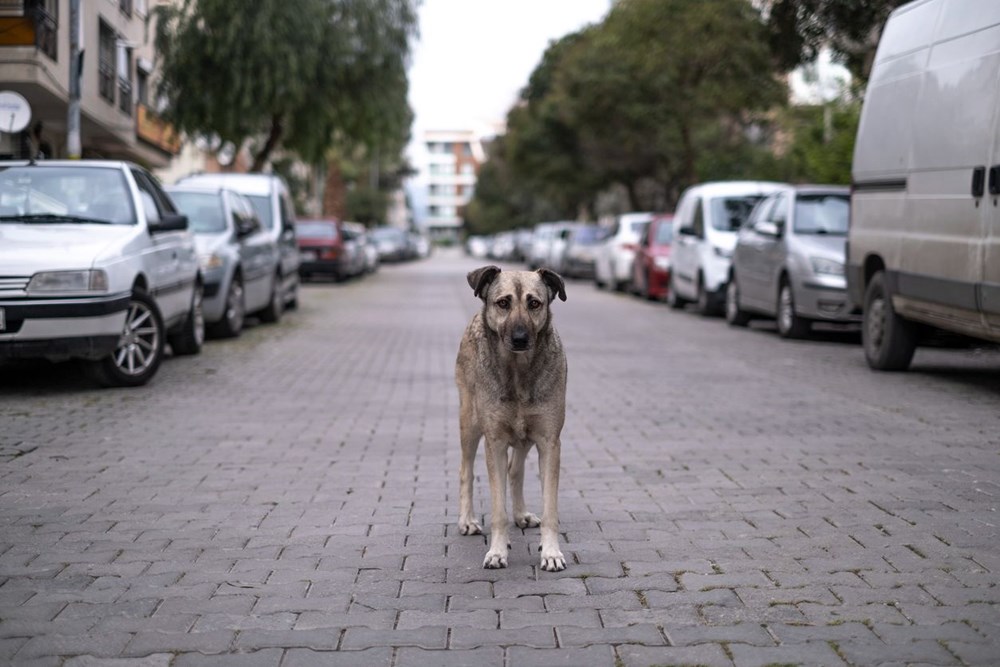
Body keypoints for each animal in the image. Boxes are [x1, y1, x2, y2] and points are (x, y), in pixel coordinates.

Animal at [456, 266, 568, 576]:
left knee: (515, 470)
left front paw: (551, 552)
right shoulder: (494, 441)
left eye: (534, 303)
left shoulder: (549, 442)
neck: (518, 372)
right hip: (469, 422)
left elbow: (551, 508)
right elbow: (497, 510)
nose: (519, 338)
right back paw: (467, 520)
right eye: (503, 303)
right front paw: (497, 551)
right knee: (466, 471)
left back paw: (521, 515)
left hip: (524, 436)